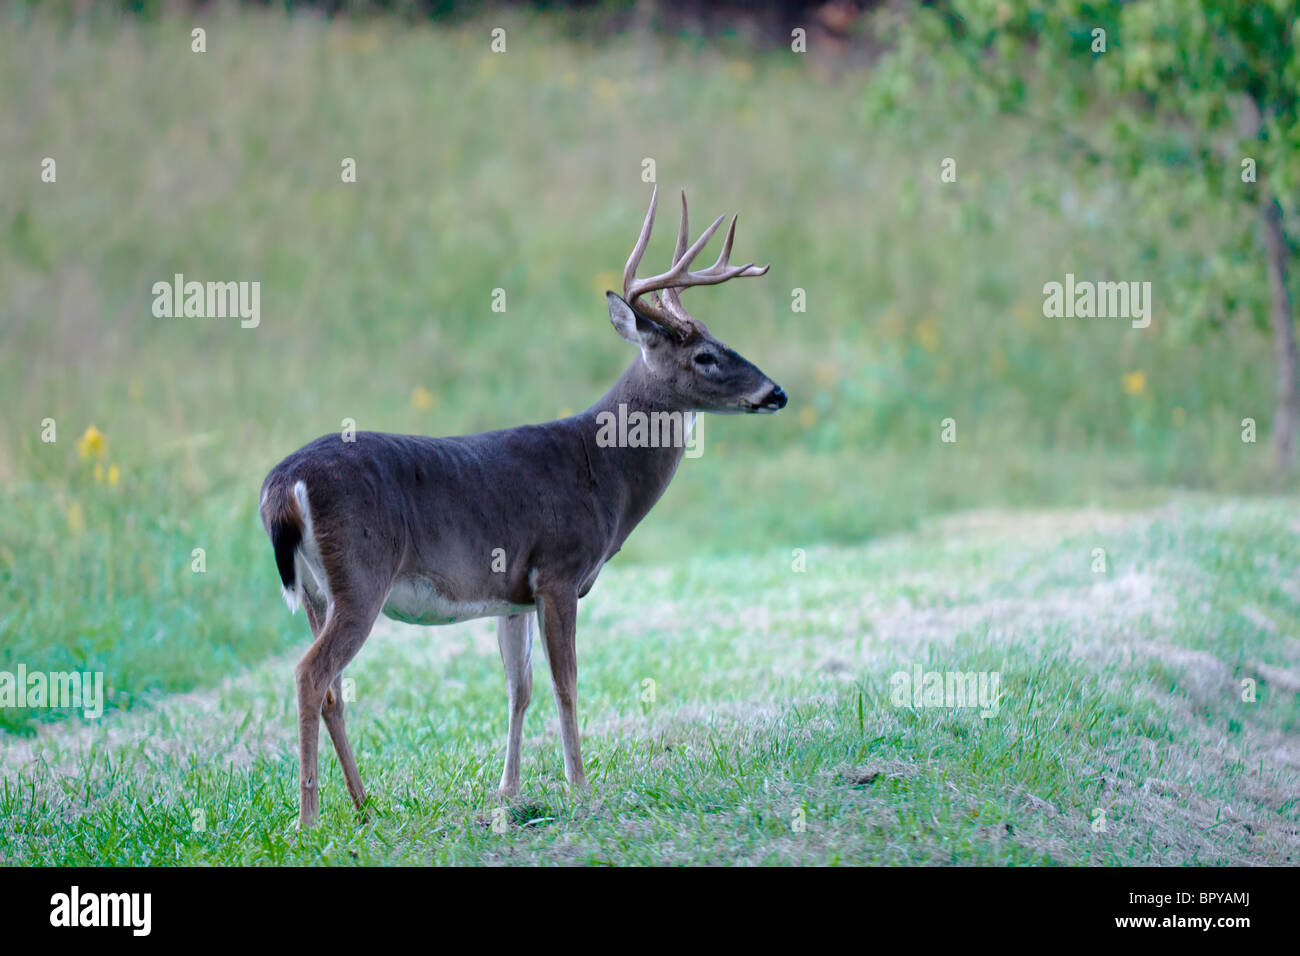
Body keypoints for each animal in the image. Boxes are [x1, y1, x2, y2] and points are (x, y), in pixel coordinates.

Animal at [258, 187, 785, 832]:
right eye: (707, 356)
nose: (776, 393)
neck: (602, 469)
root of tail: (283, 486)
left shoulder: (513, 593)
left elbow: (519, 687)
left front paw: (507, 792)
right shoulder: (558, 570)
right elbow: (566, 684)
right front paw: (580, 788)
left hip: (315, 590)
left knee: (333, 685)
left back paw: (363, 803)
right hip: (360, 577)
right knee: (312, 674)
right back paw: (309, 818)